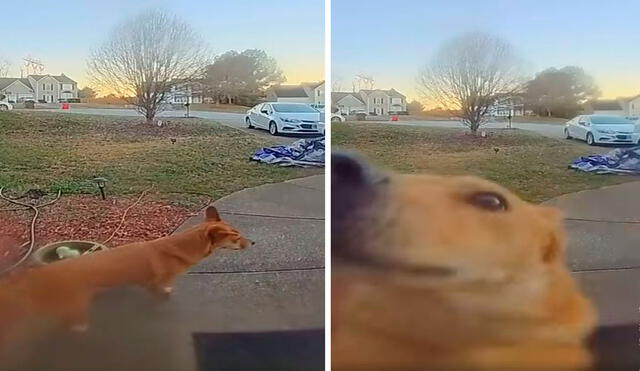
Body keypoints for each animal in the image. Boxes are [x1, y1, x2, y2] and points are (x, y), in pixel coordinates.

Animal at [0, 206, 251, 348]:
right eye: (236, 237)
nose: (253, 243)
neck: (183, 246)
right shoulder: (155, 284)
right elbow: (160, 294)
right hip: (76, 306)